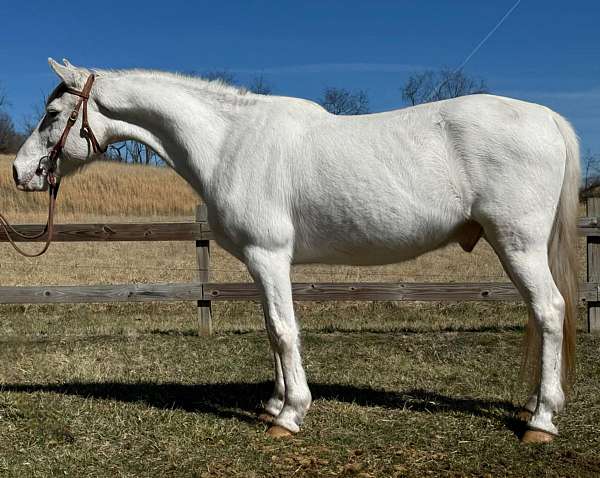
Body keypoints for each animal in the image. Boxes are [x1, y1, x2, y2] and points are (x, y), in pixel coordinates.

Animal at [11, 59, 580, 444]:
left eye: (53, 112)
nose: (20, 172)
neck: (230, 141)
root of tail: (548, 118)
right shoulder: (263, 263)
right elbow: (271, 329)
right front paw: (273, 404)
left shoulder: (269, 256)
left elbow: (285, 331)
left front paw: (289, 416)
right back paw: (535, 406)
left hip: (519, 244)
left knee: (550, 311)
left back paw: (542, 421)